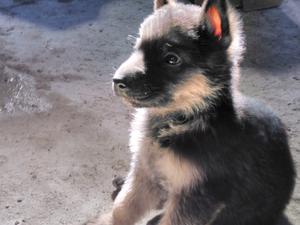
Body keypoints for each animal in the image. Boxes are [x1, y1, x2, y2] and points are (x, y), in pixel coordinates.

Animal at [85, 0, 296, 225]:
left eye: (171, 59)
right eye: (137, 48)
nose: (117, 81)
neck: (181, 121)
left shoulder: (196, 197)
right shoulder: (144, 171)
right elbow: (122, 207)